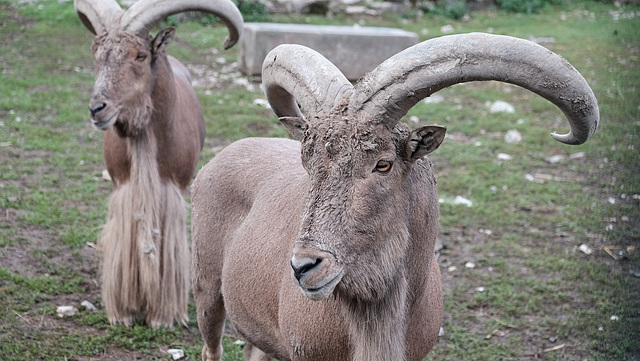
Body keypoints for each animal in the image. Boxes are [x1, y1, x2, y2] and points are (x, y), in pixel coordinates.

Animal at [74, 0, 244, 326]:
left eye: (140, 55)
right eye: (97, 56)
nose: (97, 109)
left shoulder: (173, 188)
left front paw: (161, 316)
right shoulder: (123, 186)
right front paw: (124, 313)